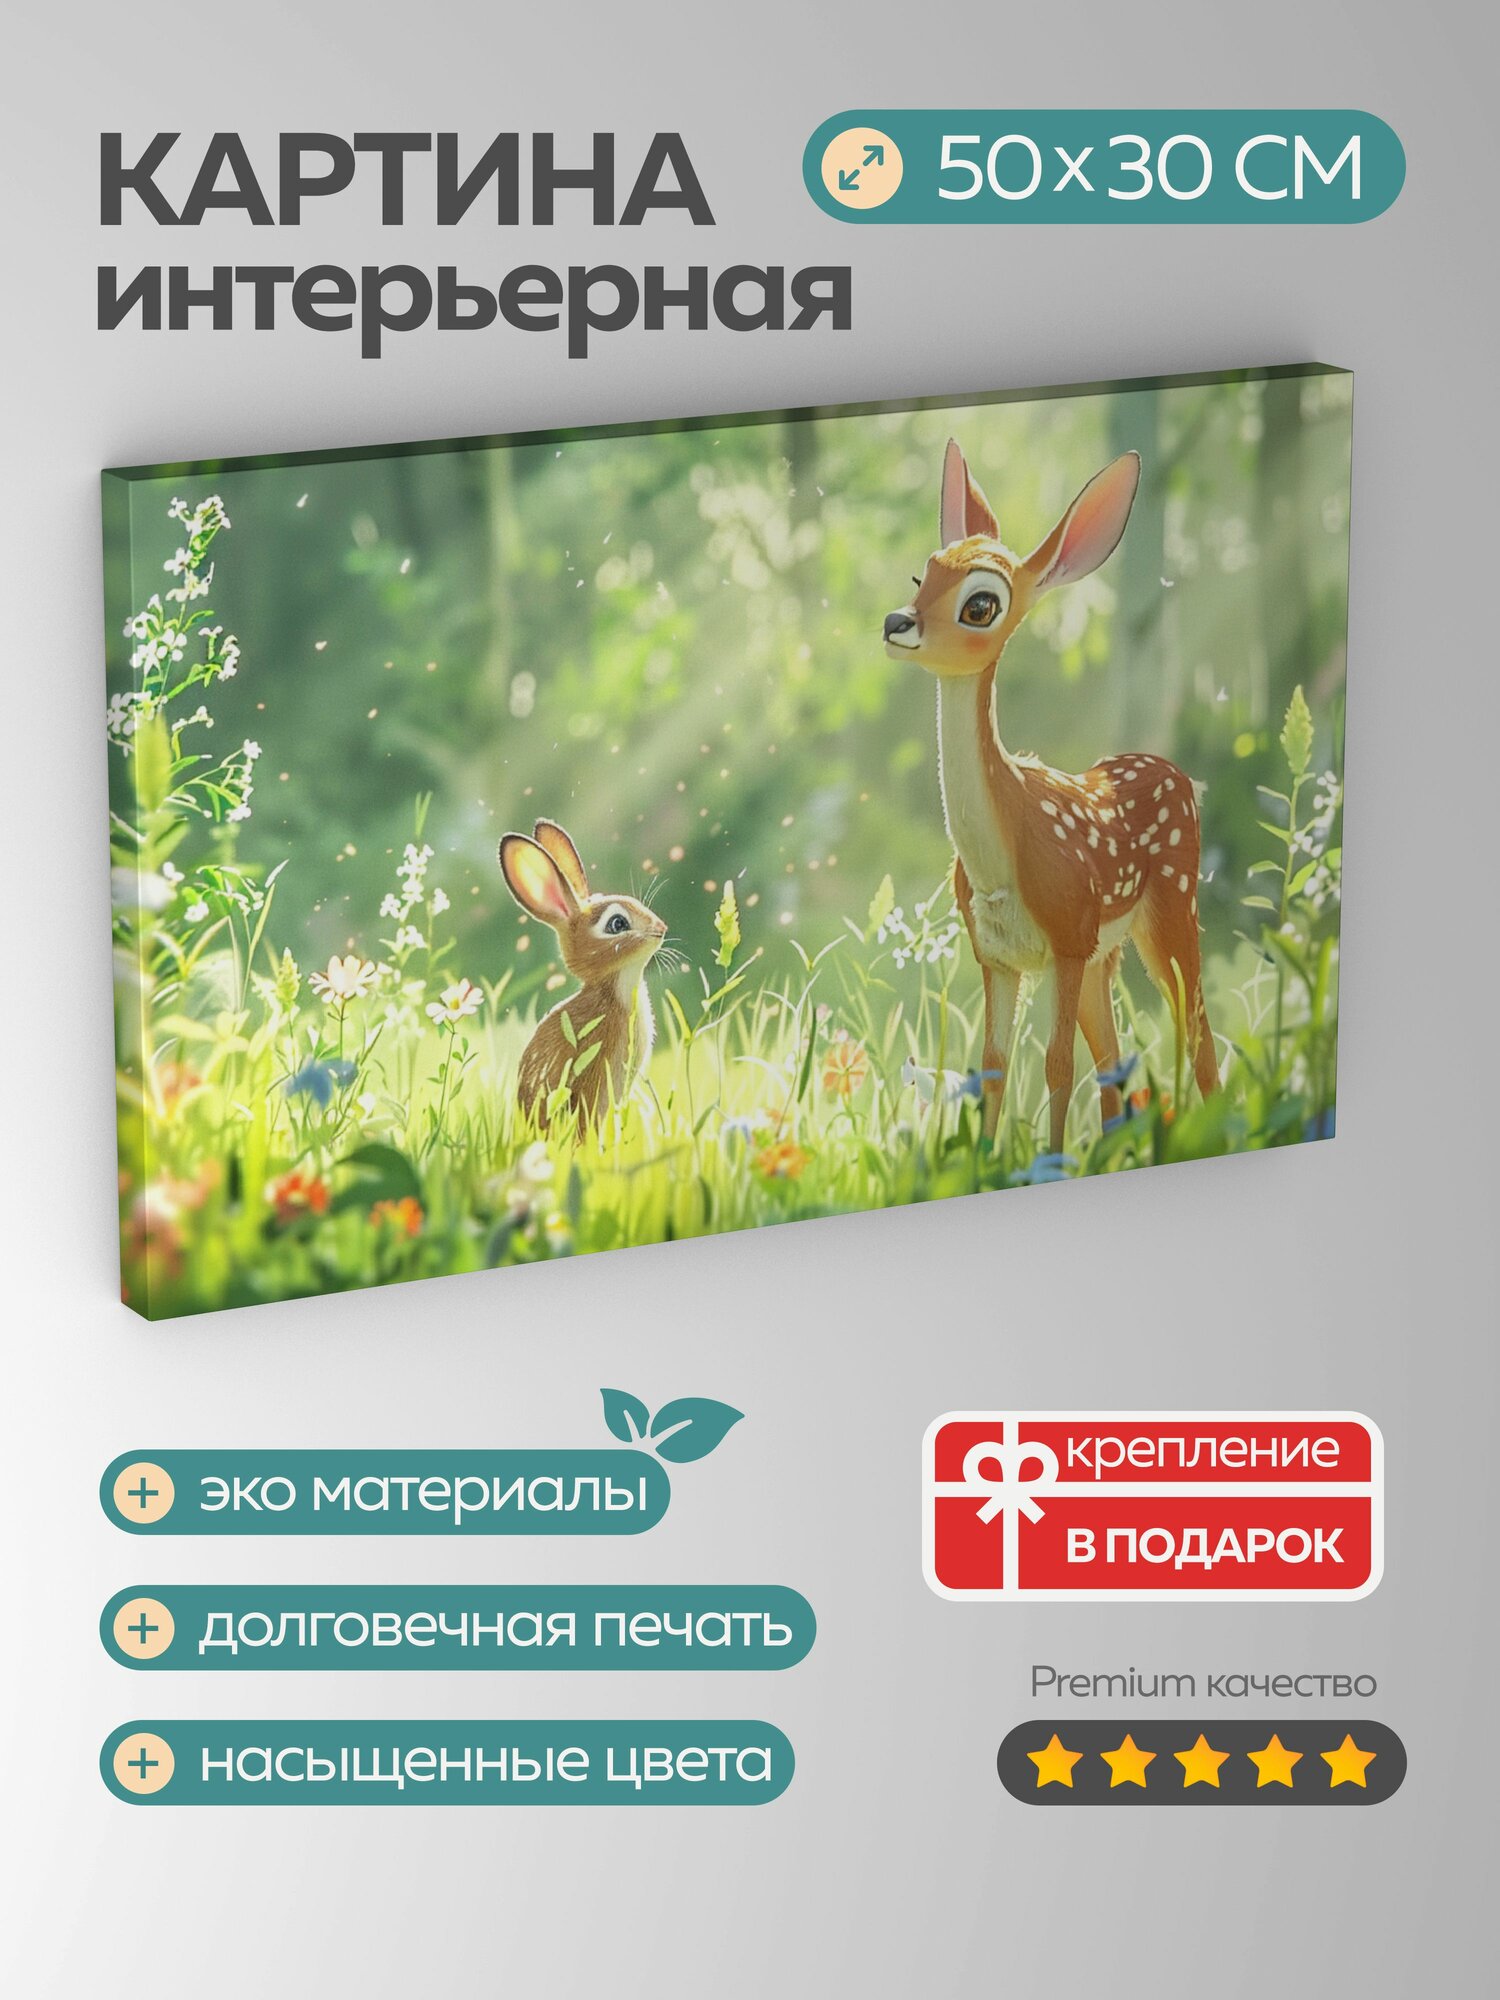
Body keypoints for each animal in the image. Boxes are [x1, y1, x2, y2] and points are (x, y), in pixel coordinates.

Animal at [883, 439, 1219, 1160]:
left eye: (981, 605)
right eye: (922, 575)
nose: (897, 623)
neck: (999, 859)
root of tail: (1178, 772)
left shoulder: (1065, 935)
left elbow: (1056, 1063)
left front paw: (1046, 1163)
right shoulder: (996, 954)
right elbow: (994, 1064)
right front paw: (987, 1164)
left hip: (1170, 908)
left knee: (1195, 1027)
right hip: (1104, 952)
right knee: (1114, 1054)